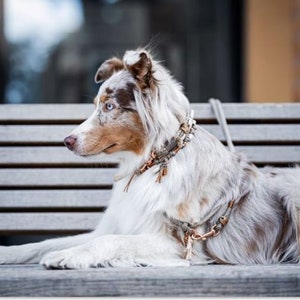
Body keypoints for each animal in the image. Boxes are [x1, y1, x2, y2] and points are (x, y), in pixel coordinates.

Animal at [0, 48, 300, 268]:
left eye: (109, 106)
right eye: (96, 105)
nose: (67, 141)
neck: (152, 162)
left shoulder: (180, 244)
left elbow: (109, 241)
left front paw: (69, 256)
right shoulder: (118, 224)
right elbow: (45, 243)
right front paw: (9, 253)